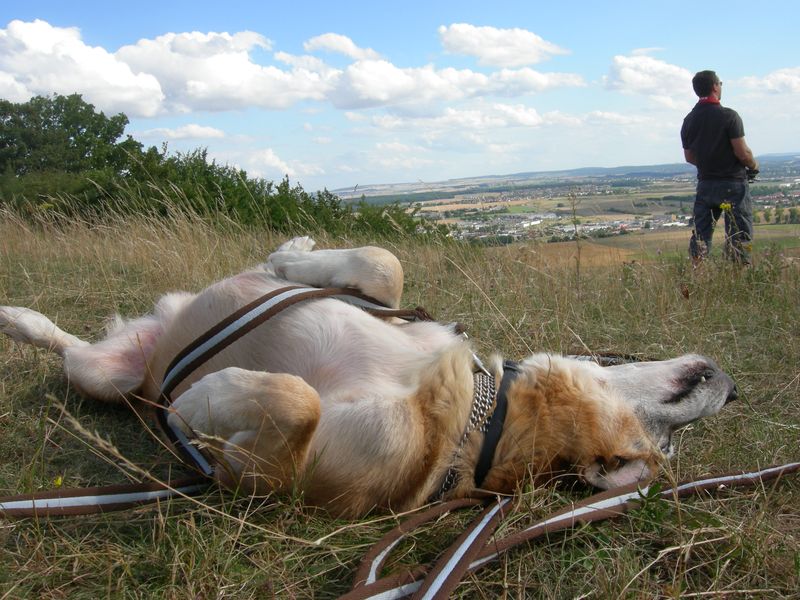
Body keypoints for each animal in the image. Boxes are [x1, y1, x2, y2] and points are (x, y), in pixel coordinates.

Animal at [0, 237, 736, 516]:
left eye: (661, 448)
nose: (732, 390)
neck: (484, 418)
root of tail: (151, 347)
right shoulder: (404, 312)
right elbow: (385, 265)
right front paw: (295, 259)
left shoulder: (265, 481)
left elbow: (295, 402)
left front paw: (207, 396)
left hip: (103, 377)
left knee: (76, 356)